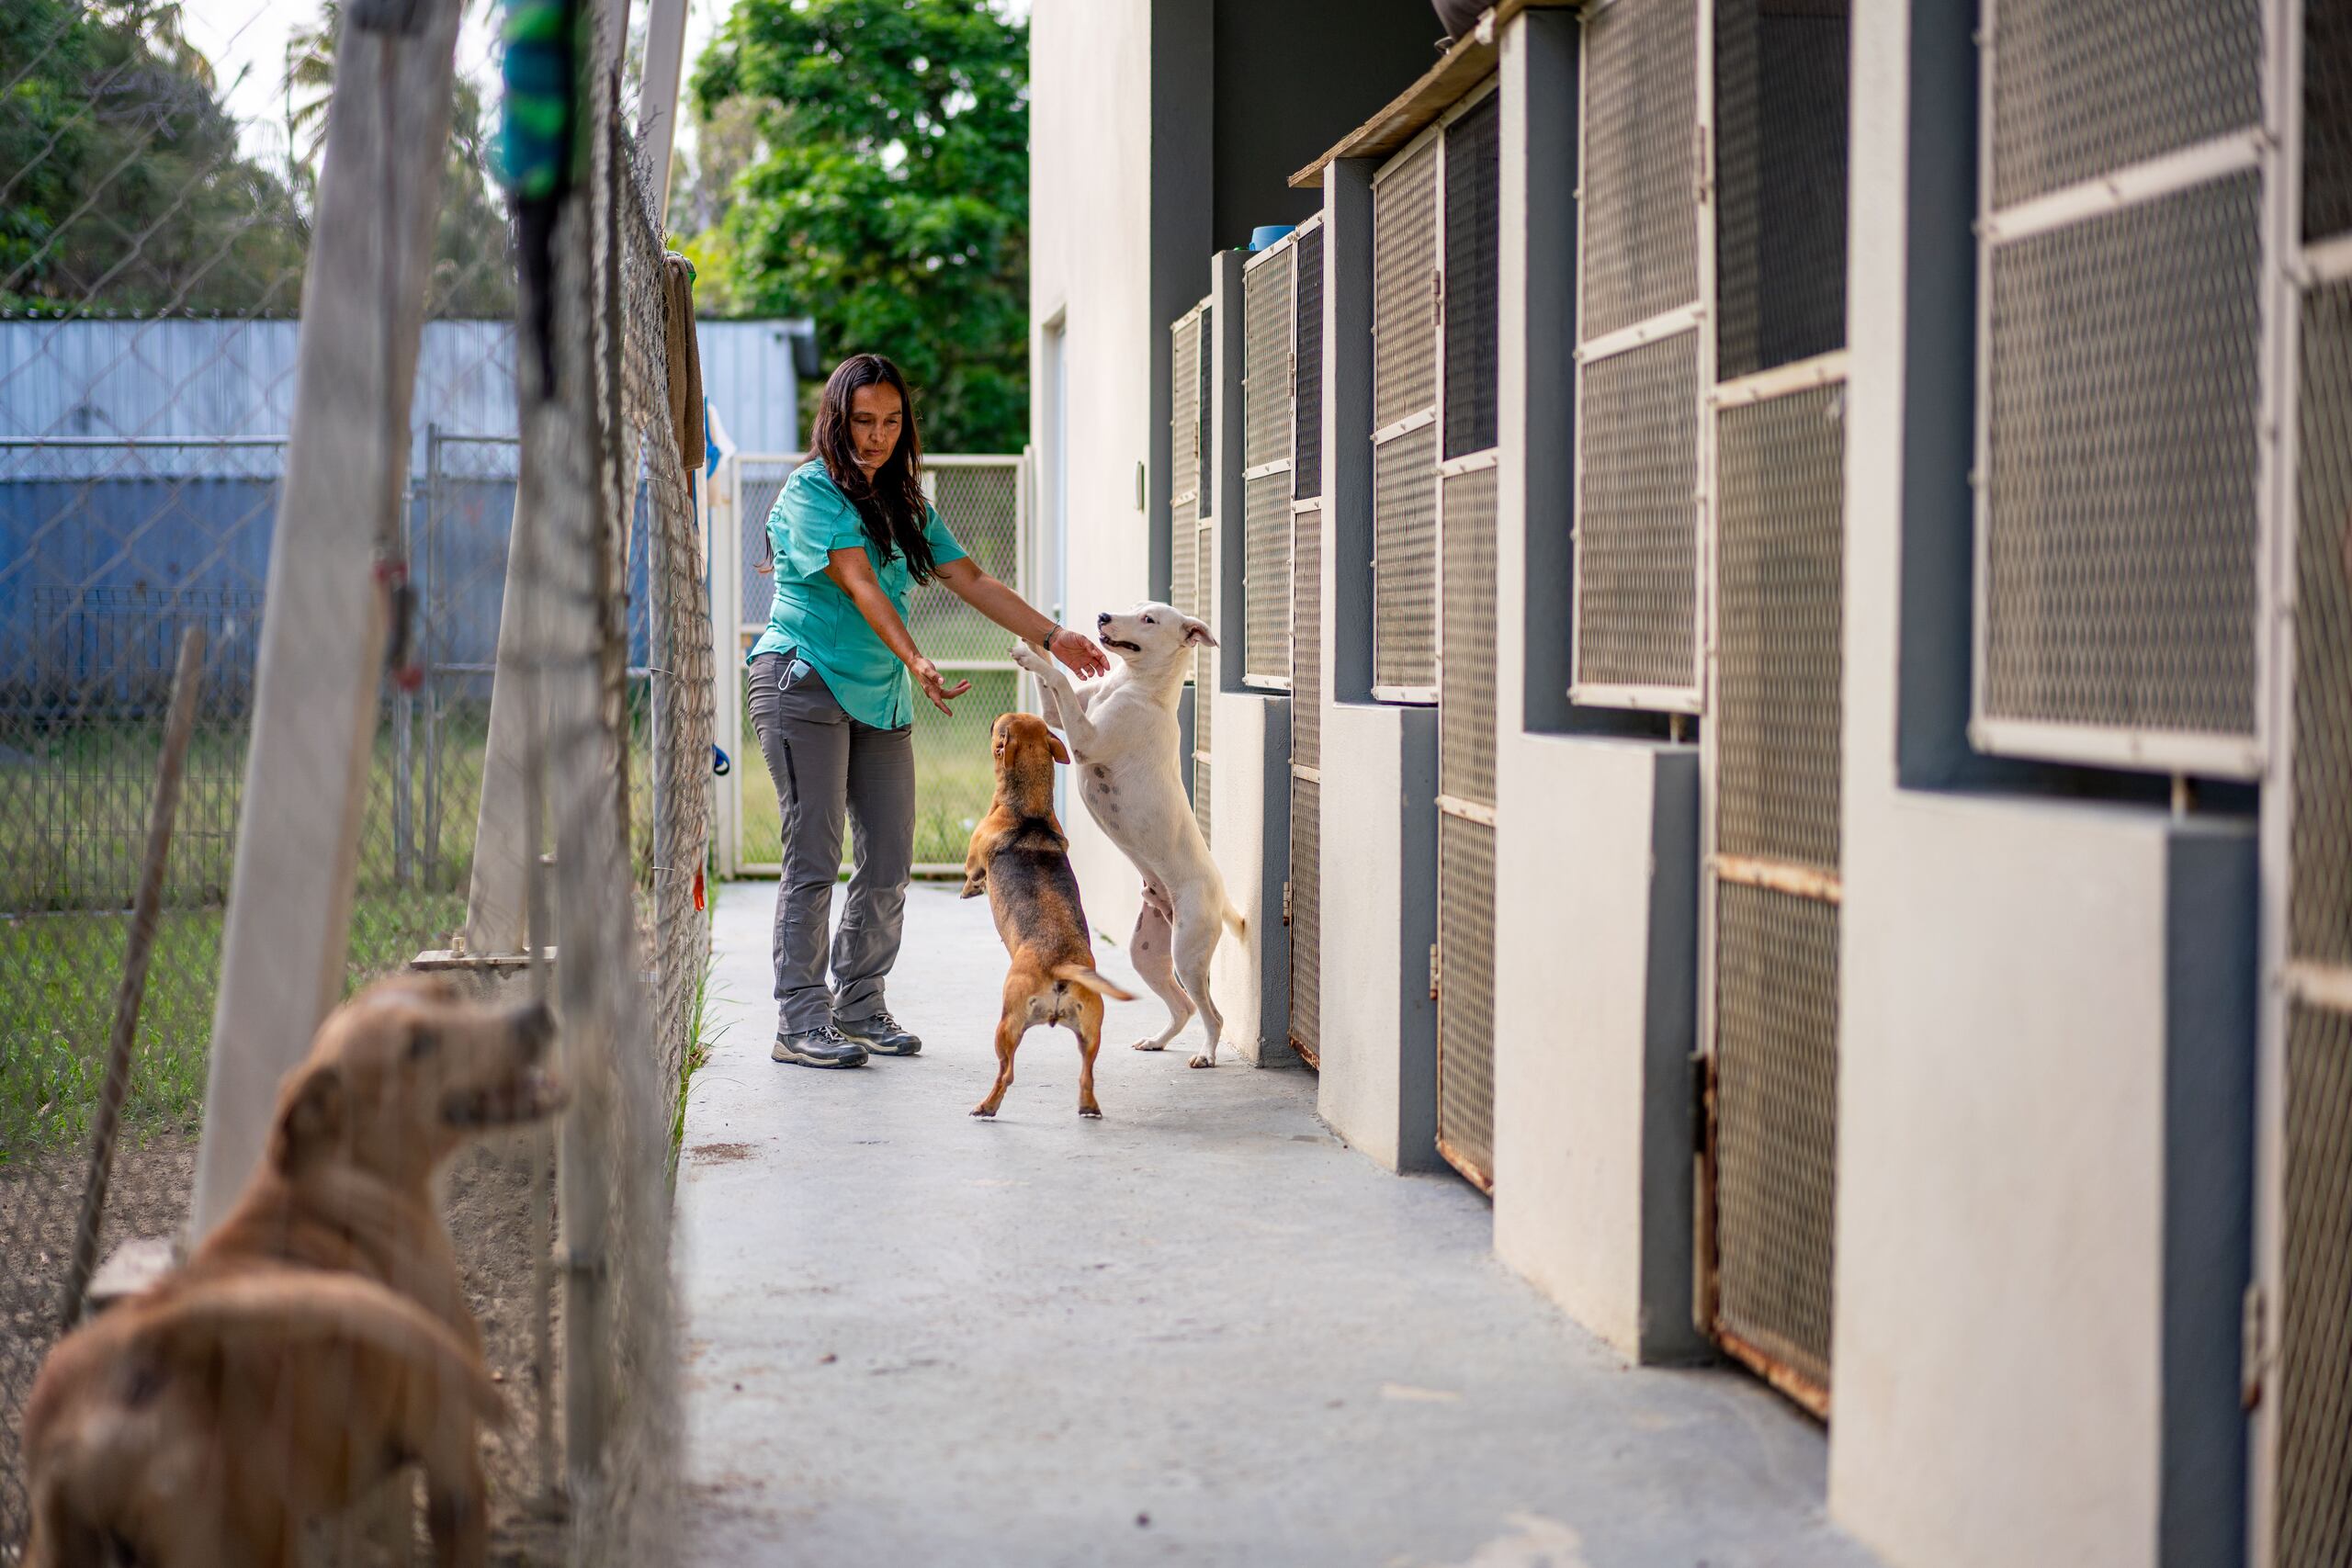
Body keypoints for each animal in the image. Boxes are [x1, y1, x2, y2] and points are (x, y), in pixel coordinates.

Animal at [24, 973, 564, 1561]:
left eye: (451, 995)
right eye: (418, 1045)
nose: (537, 1014)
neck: (342, 1184)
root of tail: (140, 1342)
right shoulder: (452, 1472)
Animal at [959, 709, 1133, 1114]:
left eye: (1000, 725)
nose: (993, 718)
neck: (1030, 813)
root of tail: (1061, 965)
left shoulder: (974, 859)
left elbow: (972, 874)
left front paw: (968, 890)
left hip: (1007, 1025)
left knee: (1006, 1074)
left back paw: (986, 1106)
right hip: (1091, 1033)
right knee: (1087, 1075)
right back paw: (1088, 1106)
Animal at [1006, 602, 1241, 1066]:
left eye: (1149, 620)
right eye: (1134, 608)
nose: (1102, 617)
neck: (1133, 686)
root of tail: (1219, 892)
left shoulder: (1085, 739)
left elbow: (1059, 678)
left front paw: (1031, 657)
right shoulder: (1059, 717)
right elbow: (1052, 686)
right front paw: (1032, 640)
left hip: (1188, 952)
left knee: (1213, 1013)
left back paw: (1205, 1054)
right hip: (1147, 952)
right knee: (1183, 1007)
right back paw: (1157, 1040)